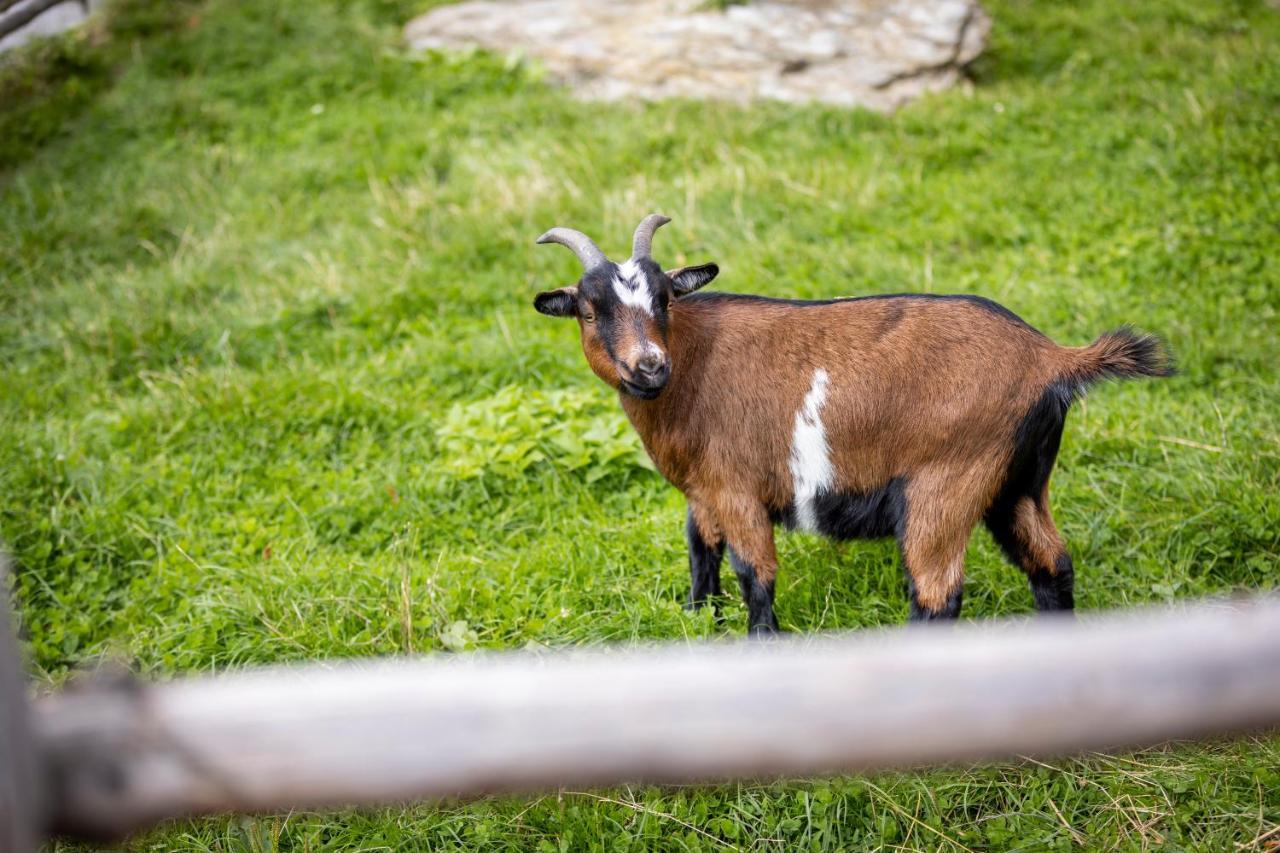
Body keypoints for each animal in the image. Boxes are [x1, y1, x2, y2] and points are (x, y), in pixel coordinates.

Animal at [527, 216, 1172, 635]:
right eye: (590, 310)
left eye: (663, 298)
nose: (649, 366)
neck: (691, 367)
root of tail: (1052, 359)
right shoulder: (704, 490)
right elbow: (699, 552)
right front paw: (698, 620)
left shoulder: (737, 489)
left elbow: (753, 573)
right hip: (1017, 486)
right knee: (1052, 566)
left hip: (948, 484)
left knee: (937, 594)